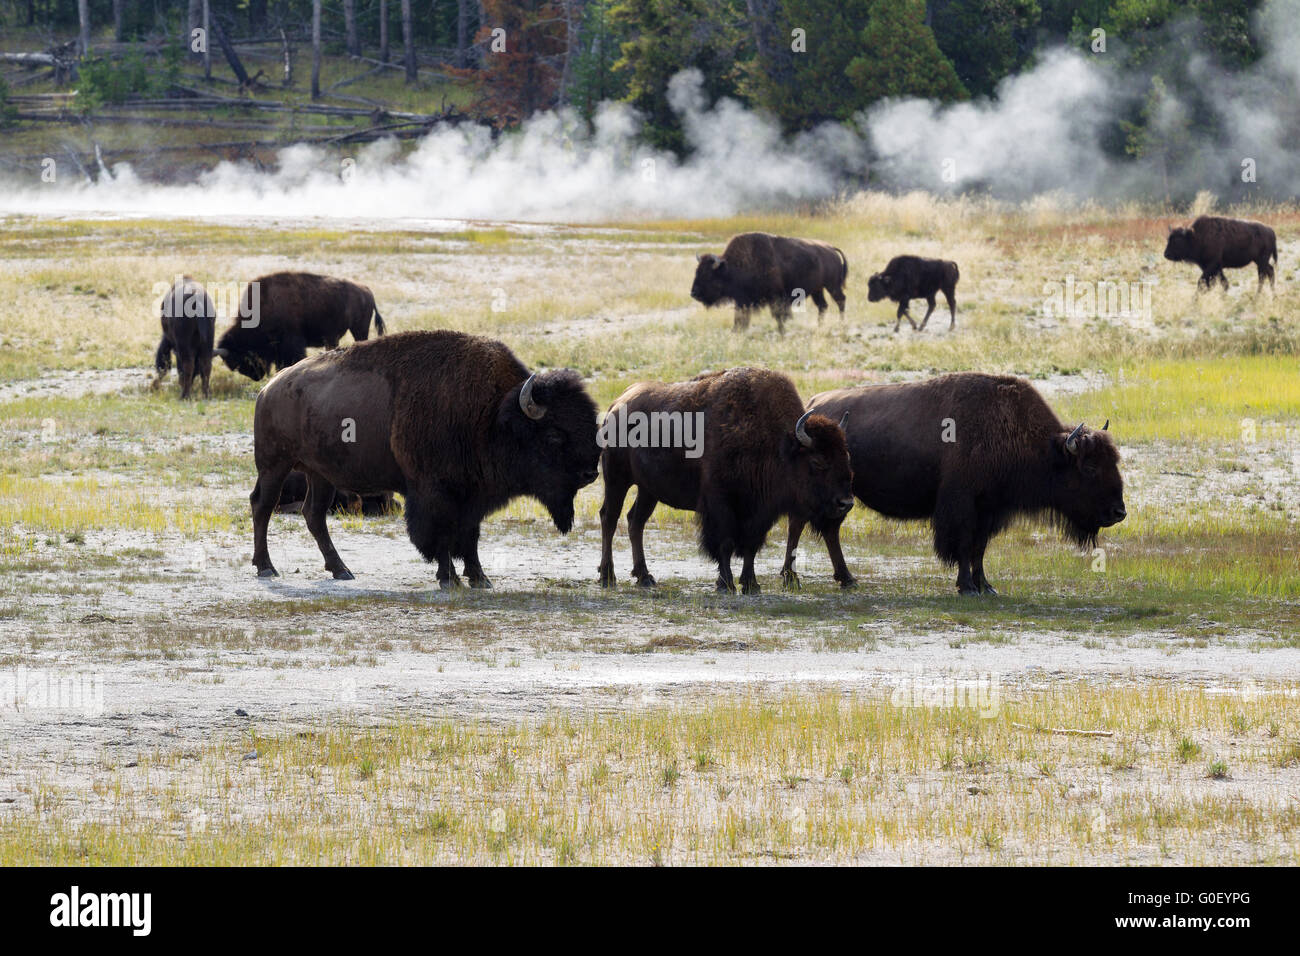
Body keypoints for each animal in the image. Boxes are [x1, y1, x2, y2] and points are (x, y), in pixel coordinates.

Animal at [248, 329, 598, 587]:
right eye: (554, 435)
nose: (590, 473)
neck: (493, 415)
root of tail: (269, 388)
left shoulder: (473, 496)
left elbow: (470, 536)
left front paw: (480, 578)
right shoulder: (435, 494)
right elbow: (440, 535)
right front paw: (450, 579)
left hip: (319, 474)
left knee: (314, 515)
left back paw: (341, 570)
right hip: (274, 466)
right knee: (262, 506)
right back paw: (267, 568)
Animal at [595, 369, 852, 595]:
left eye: (846, 456)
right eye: (817, 461)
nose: (846, 502)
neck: (777, 444)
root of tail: (616, 405)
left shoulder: (759, 513)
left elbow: (751, 547)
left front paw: (751, 584)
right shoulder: (720, 505)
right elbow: (725, 544)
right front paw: (726, 584)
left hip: (648, 490)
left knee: (635, 521)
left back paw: (644, 576)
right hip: (617, 479)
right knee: (609, 518)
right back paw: (608, 576)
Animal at [686, 232, 847, 335]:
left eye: (708, 275)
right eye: (696, 271)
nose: (693, 293)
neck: (732, 267)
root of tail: (831, 248)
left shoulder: (775, 297)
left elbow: (778, 315)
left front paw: (782, 331)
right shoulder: (742, 300)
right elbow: (740, 317)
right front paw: (736, 331)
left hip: (832, 286)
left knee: (840, 300)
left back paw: (840, 324)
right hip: (817, 290)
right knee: (823, 306)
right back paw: (820, 326)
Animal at [780, 374, 1128, 595]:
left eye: (1115, 462)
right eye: (1090, 467)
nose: (1119, 512)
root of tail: (813, 403)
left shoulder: (989, 510)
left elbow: (979, 548)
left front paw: (986, 586)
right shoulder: (962, 506)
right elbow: (962, 545)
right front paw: (967, 587)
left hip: (842, 498)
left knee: (829, 531)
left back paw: (847, 579)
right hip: (823, 493)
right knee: (801, 524)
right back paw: (795, 577)